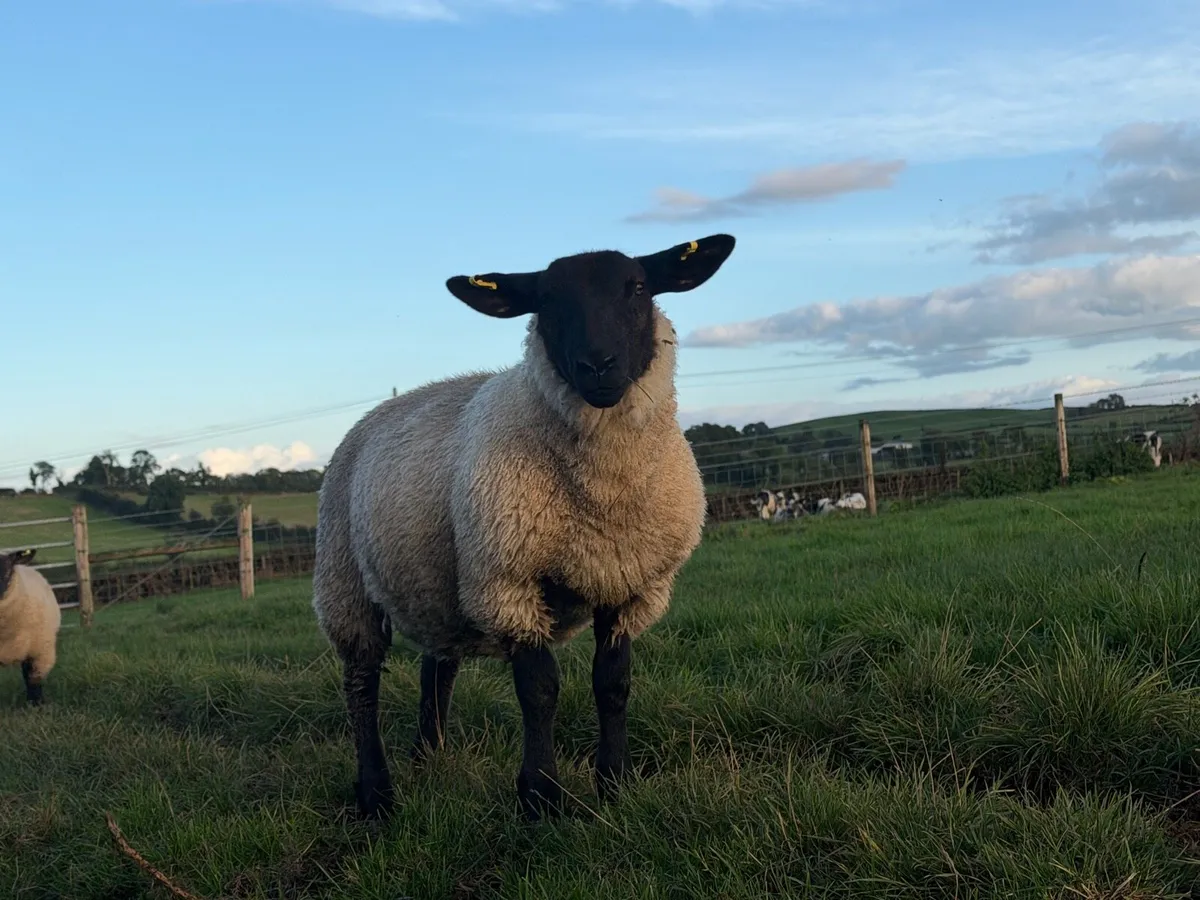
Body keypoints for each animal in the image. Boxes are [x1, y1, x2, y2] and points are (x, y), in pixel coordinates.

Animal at [312, 233, 737, 822]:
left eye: (638, 287)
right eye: (547, 300)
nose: (597, 365)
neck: (602, 495)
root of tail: (382, 409)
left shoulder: (628, 582)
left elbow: (614, 684)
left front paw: (614, 784)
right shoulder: (508, 580)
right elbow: (539, 691)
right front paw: (540, 797)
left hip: (434, 582)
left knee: (435, 668)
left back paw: (429, 757)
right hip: (344, 581)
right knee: (361, 684)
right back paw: (376, 794)